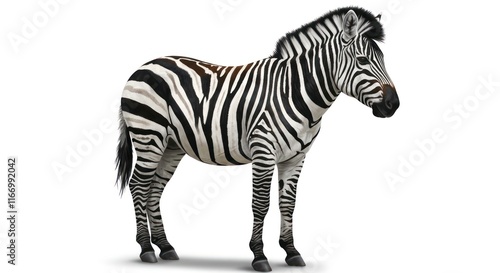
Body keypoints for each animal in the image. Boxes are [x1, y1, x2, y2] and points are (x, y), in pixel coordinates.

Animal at [116, 6, 398, 272]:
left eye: (383, 59)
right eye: (362, 60)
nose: (393, 105)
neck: (295, 92)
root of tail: (144, 66)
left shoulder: (296, 157)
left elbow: (288, 203)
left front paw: (291, 251)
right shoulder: (264, 151)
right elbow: (261, 203)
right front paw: (259, 255)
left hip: (171, 145)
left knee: (154, 189)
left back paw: (165, 246)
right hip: (148, 135)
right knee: (138, 185)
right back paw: (146, 248)